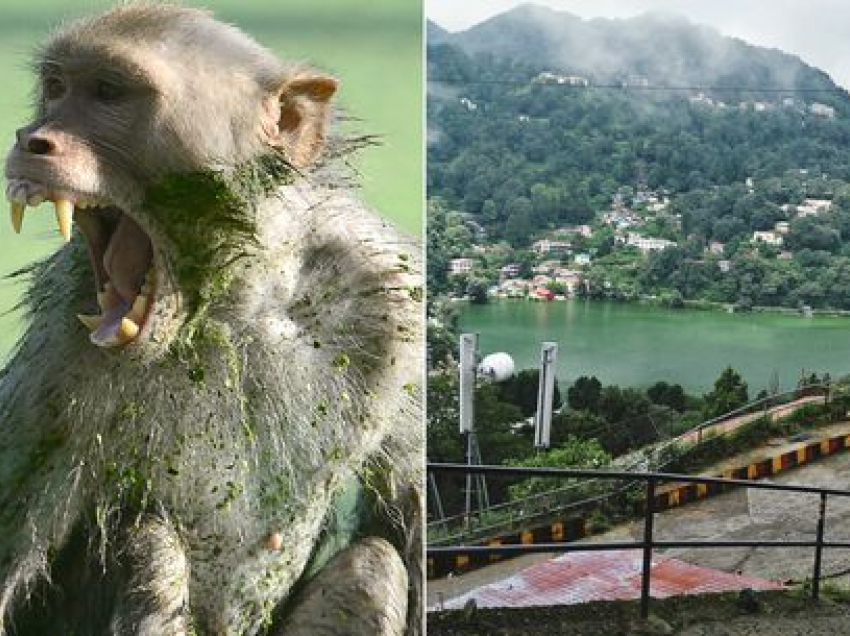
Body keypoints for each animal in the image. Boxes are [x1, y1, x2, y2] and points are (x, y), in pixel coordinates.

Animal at [0, 4, 422, 636]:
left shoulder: (393, 298)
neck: (234, 304)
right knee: (154, 548)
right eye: (55, 88)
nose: (32, 138)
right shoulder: (59, 344)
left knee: (375, 565)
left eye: (108, 92)